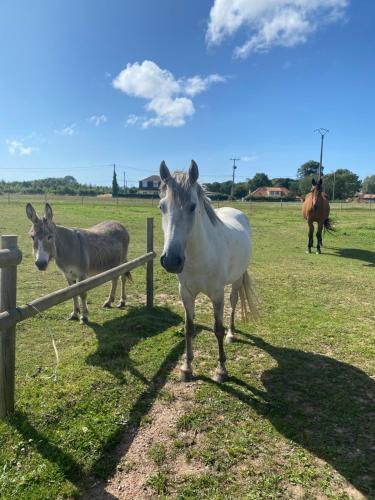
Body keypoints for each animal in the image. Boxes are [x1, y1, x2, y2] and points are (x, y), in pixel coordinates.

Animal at [159, 160, 258, 382]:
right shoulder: (186, 294)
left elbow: (217, 329)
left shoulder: (217, 295)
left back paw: (232, 334)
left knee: (233, 303)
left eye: (193, 206)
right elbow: (189, 328)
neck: (198, 257)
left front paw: (221, 370)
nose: (171, 261)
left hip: (236, 280)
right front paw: (186, 368)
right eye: (161, 206)